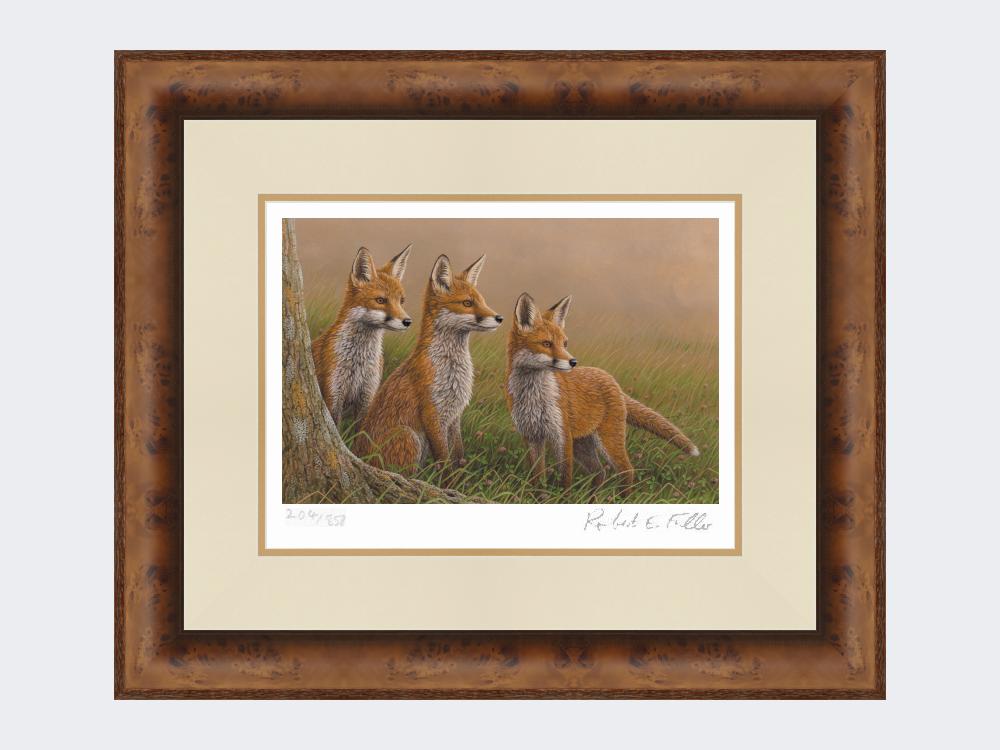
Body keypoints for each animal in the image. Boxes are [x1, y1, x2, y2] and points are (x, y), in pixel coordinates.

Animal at [311, 244, 412, 425]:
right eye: (380, 300)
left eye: (401, 301)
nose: (407, 321)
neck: (359, 361)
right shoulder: (333, 393)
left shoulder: (367, 396)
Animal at [356, 254, 503, 472]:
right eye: (467, 303)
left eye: (482, 301)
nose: (499, 318)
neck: (451, 369)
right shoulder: (432, 413)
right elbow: (444, 461)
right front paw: (448, 481)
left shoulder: (454, 416)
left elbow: (458, 456)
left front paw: (460, 479)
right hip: (408, 436)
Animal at [505, 292, 699, 493]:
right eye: (546, 343)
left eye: (565, 343)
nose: (573, 362)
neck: (533, 396)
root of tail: (610, 379)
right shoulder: (531, 436)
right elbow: (537, 479)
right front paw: (538, 496)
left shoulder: (561, 436)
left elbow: (565, 479)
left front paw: (563, 497)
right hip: (582, 445)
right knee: (600, 473)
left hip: (608, 441)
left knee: (626, 471)